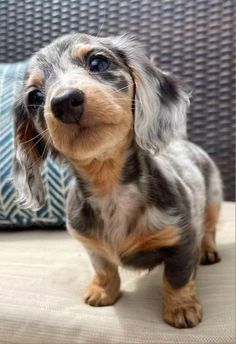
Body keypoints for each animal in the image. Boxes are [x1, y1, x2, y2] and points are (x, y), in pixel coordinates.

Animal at [12, 33, 222, 330]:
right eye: (35, 97)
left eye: (98, 62)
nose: (64, 101)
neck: (109, 186)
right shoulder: (90, 244)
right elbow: (104, 269)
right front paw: (102, 291)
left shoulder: (182, 238)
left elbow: (177, 278)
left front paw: (181, 308)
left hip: (213, 199)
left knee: (210, 229)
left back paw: (208, 251)